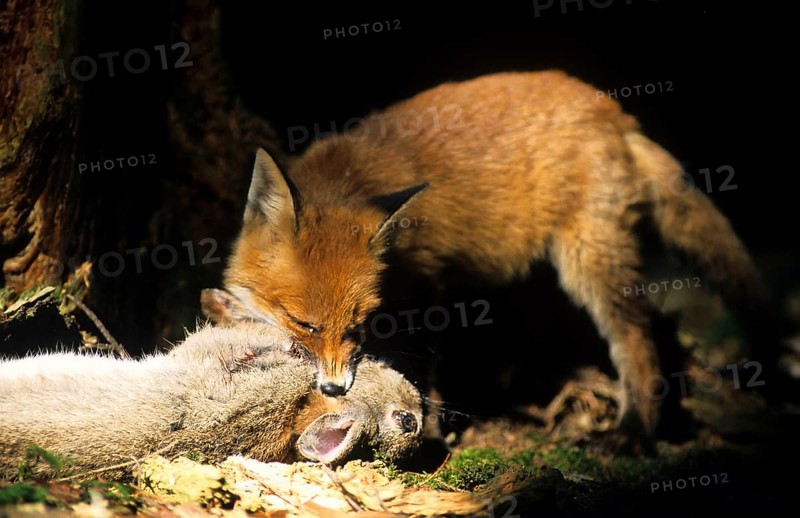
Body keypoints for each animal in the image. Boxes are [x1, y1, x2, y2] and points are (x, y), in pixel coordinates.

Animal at [204, 70, 764, 449]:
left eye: (359, 325)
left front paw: (429, 429)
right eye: (306, 324)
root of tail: (613, 112)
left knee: (636, 337)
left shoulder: (429, 287)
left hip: (590, 261)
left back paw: (633, 429)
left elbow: (425, 367)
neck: (350, 179)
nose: (335, 387)